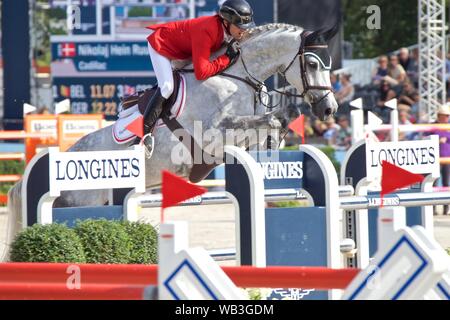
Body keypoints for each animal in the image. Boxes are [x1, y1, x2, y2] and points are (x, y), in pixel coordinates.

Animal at [4, 22, 338, 260]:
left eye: (329, 64)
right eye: (312, 64)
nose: (329, 110)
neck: (238, 78)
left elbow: (272, 124)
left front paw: (278, 137)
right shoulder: (214, 135)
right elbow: (268, 120)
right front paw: (281, 123)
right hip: (84, 201)